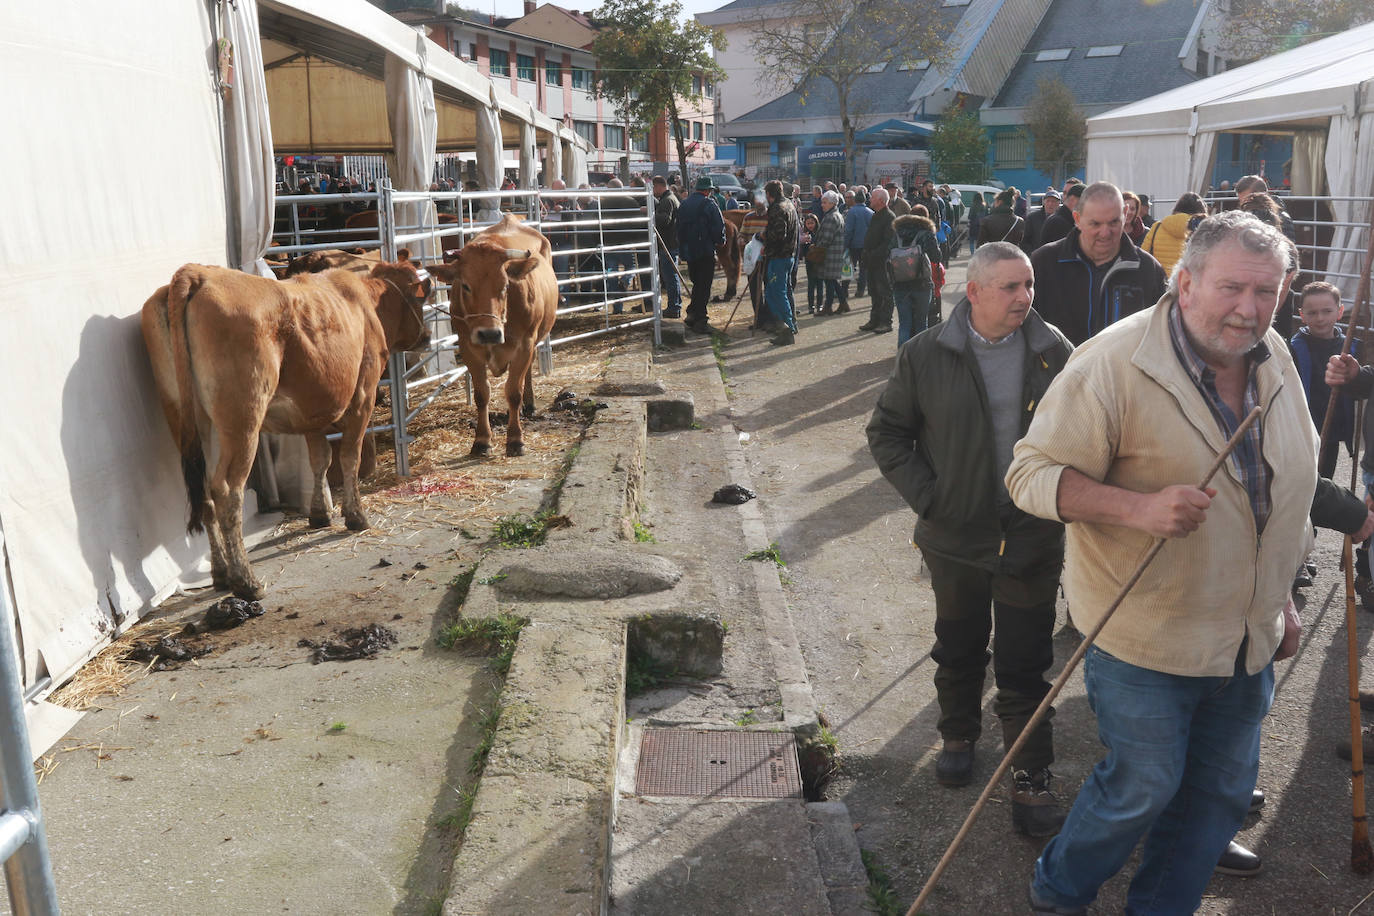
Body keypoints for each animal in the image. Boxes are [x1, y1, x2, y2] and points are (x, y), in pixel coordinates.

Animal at [140, 258, 428, 601]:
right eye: (421, 295)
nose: (427, 337)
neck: (365, 302)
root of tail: (198, 272)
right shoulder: (363, 395)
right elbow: (349, 458)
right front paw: (355, 516)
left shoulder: (313, 408)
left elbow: (320, 459)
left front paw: (319, 514)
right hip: (243, 417)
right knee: (226, 490)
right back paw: (245, 580)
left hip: (187, 416)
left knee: (206, 491)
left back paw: (221, 573)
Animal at [428, 214, 557, 458]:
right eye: (465, 286)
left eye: (505, 285)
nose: (489, 333)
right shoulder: (468, 347)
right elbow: (482, 394)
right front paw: (481, 440)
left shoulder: (524, 345)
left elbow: (513, 392)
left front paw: (515, 439)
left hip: (535, 339)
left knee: (527, 373)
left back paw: (529, 404)